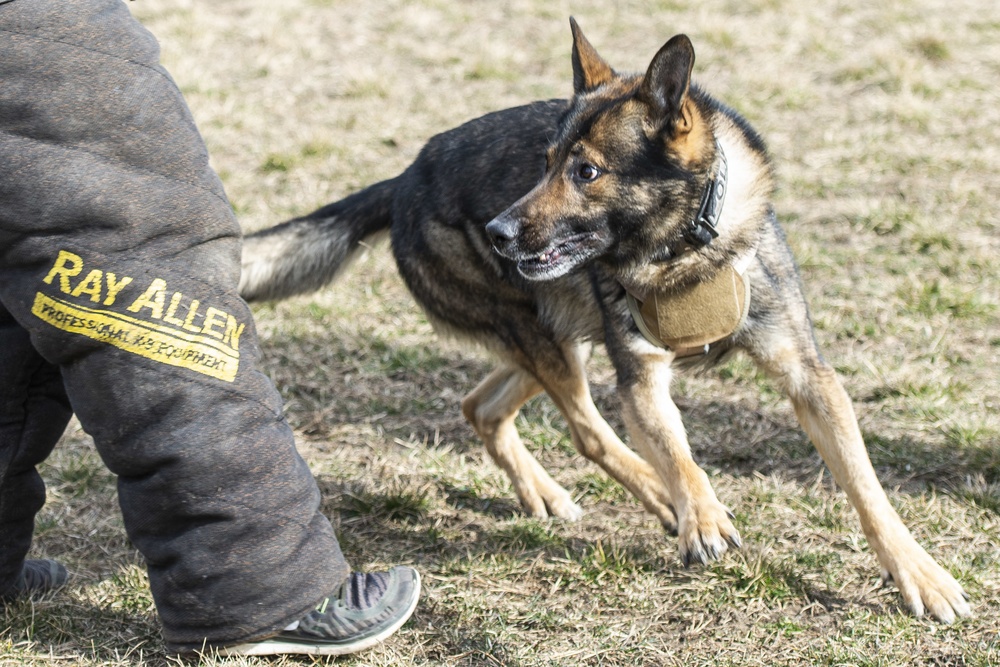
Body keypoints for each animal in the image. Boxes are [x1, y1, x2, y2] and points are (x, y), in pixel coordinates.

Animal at [238, 20, 972, 628]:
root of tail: (401, 180)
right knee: (589, 431)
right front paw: (701, 514)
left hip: (558, 334)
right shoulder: (641, 379)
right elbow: (679, 453)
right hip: (551, 342)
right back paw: (662, 500)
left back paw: (545, 490)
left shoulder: (807, 377)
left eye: (586, 170)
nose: (497, 231)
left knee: (482, 405)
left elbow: (867, 487)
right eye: (544, 163)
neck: (683, 248)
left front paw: (920, 575)